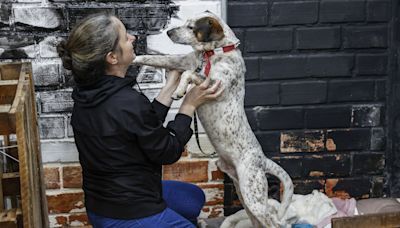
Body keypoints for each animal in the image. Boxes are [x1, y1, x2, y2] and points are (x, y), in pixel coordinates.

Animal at [134, 11, 294, 228]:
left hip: (253, 196)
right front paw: (131, 57)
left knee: (278, 223)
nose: (169, 32)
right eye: (186, 23)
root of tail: (262, 160)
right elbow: (154, 58)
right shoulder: (182, 61)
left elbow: (188, 74)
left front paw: (179, 90)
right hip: (244, 194)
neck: (213, 53)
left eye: (192, 27)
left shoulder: (213, 85)